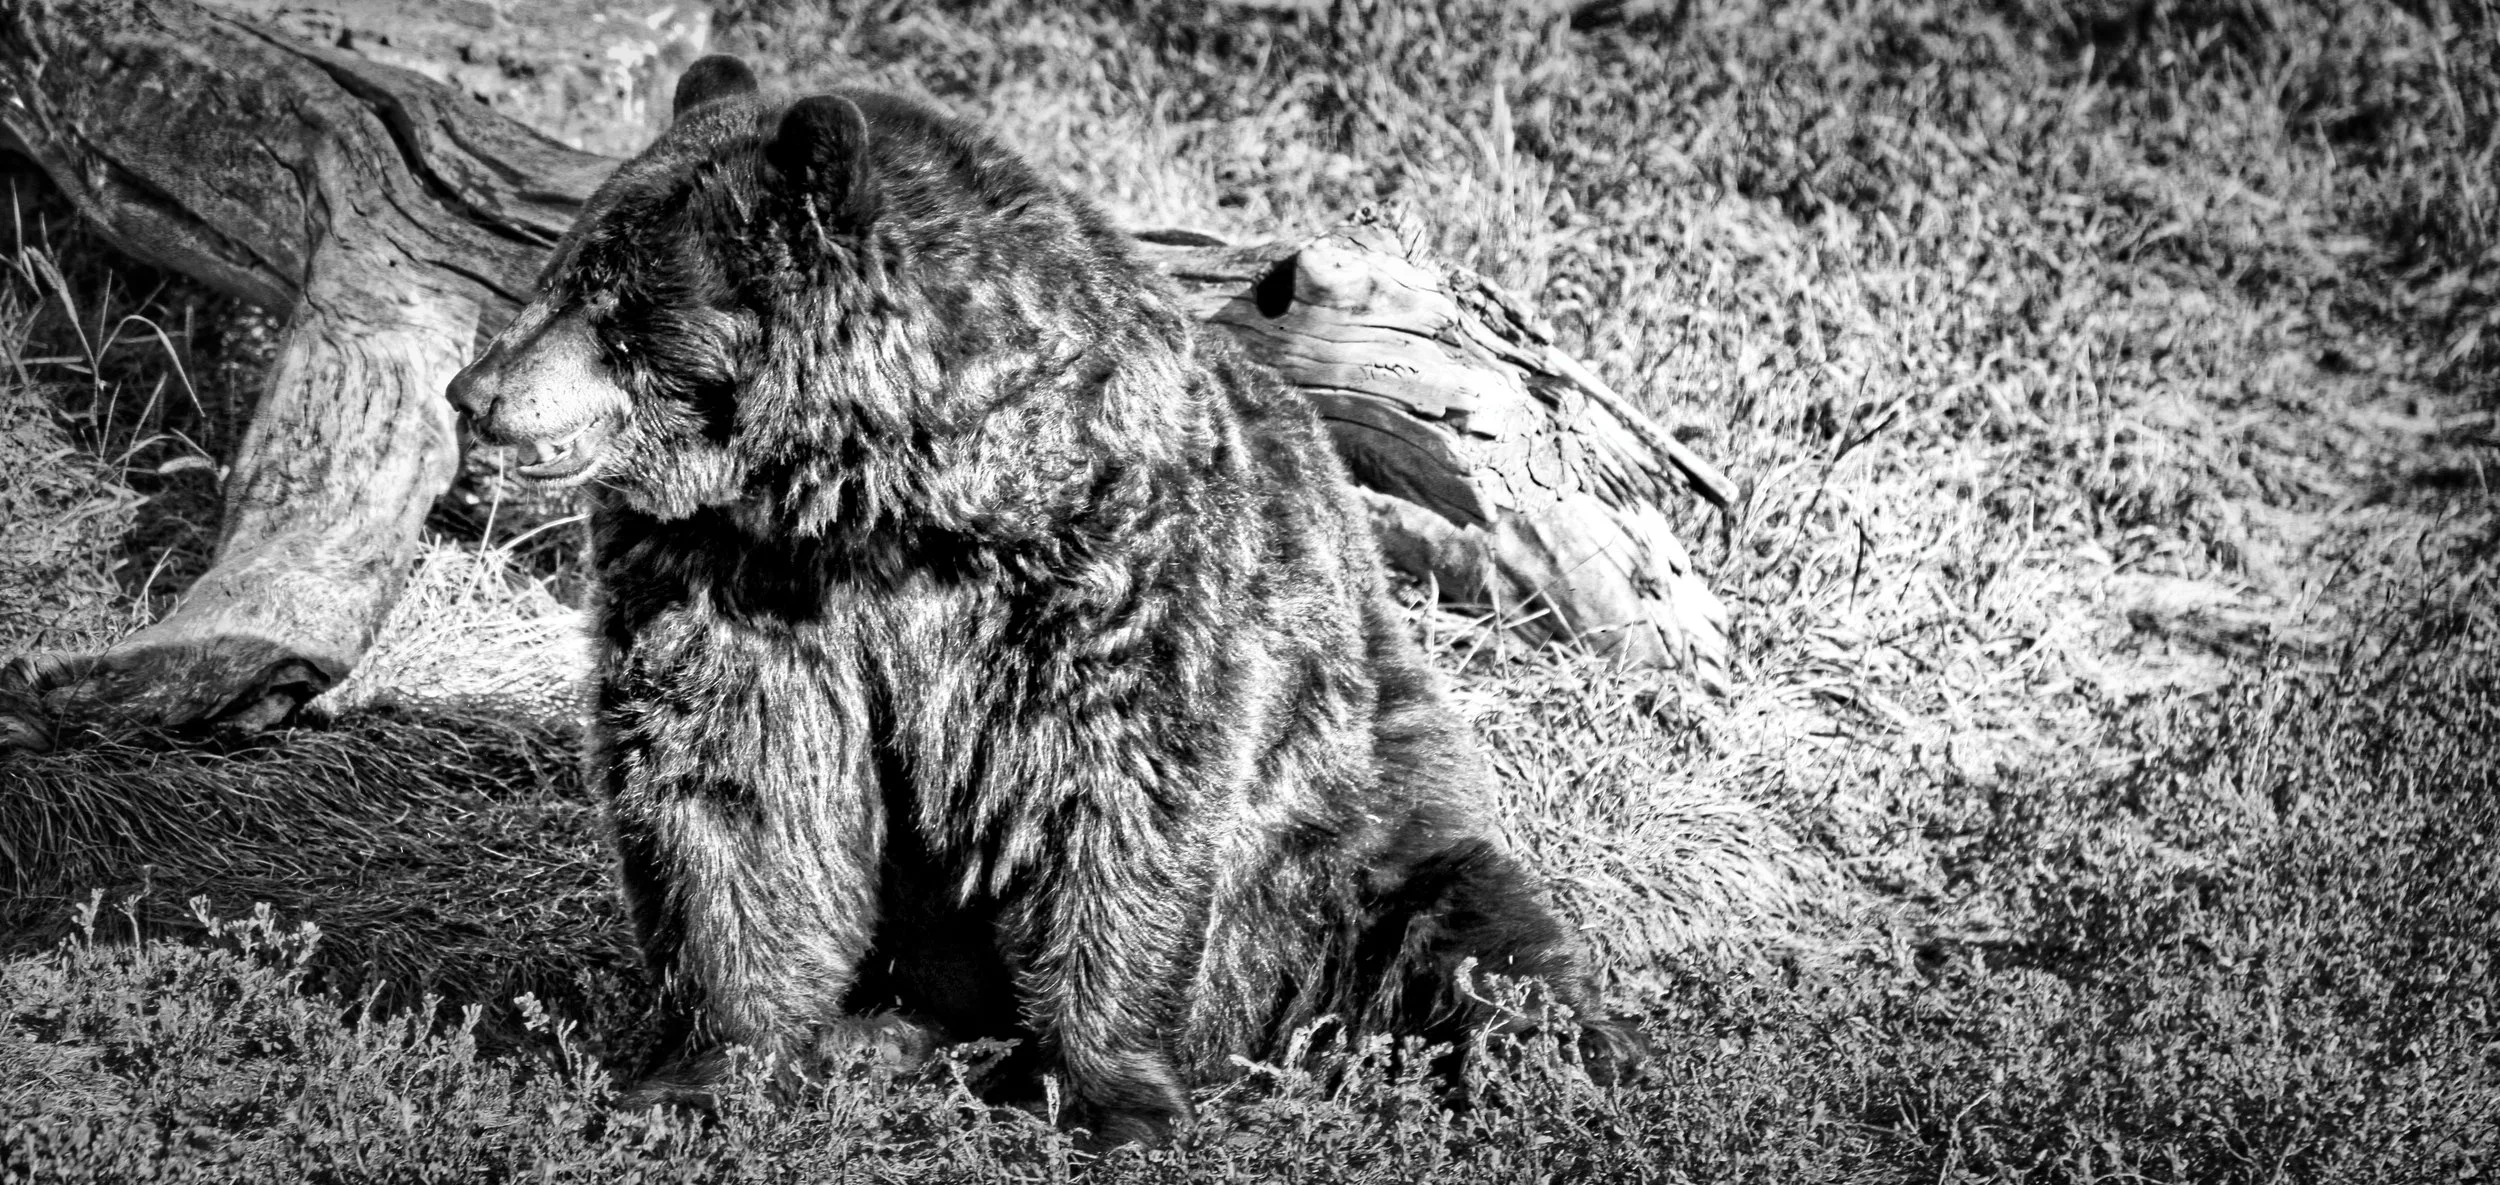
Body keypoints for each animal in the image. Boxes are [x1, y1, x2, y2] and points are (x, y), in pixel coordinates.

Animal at [444, 55, 1641, 1147]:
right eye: (566, 263)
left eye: (608, 291)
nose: (475, 390)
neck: (873, 496)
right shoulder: (737, 580)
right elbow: (738, 784)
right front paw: (707, 1073)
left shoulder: (1096, 569)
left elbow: (1110, 790)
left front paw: (1104, 1097)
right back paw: (883, 1033)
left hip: (1353, 841)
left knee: (1468, 936)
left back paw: (1546, 1065)